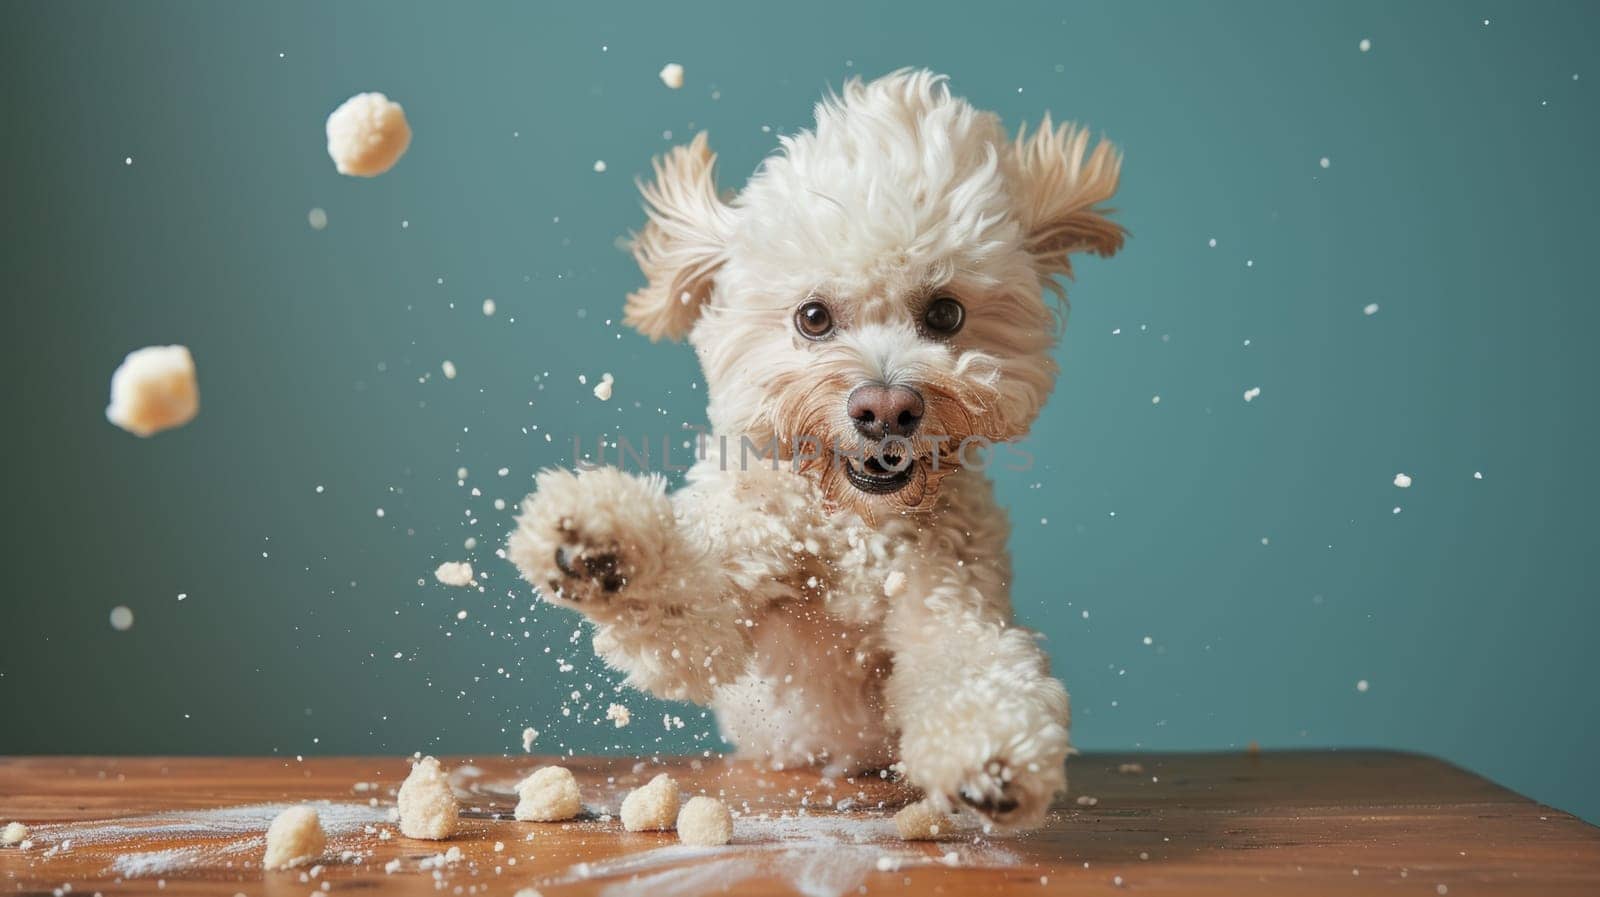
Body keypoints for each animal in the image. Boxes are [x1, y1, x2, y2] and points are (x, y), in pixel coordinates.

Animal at [505, 68, 1120, 825]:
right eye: (813, 317)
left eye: (945, 313)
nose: (885, 409)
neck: (855, 528)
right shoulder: (731, 580)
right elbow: (687, 610)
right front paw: (601, 544)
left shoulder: (952, 591)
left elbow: (973, 662)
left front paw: (993, 757)